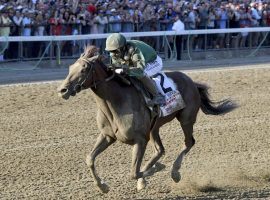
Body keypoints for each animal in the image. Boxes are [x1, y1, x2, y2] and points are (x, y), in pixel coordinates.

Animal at [57, 45, 236, 192]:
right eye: (70, 67)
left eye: (84, 68)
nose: (62, 90)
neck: (116, 102)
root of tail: (191, 81)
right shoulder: (108, 136)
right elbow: (90, 159)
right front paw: (103, 186)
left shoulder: (140, 140)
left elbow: (133, 173)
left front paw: (154, 170)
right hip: (154, 127)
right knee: (160, 149)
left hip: (186, 119)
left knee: (189, 143)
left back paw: (175, 172)